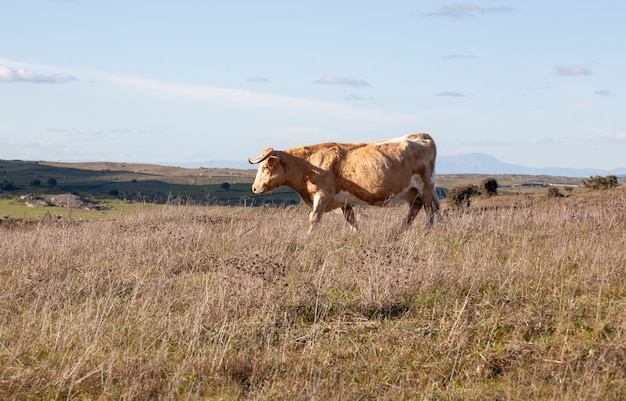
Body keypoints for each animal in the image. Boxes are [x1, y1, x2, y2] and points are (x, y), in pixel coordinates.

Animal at [249, 132, 438, 231]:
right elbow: (352, 221)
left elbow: (314, 219)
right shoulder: (344, 202)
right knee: (416, 209)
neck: (308, 164)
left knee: (430, 211)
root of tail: (421, 136)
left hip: (426, 186)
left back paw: (425, 233)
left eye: (265, 167)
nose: (254, 188)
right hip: (412, 191)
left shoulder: (323, 195)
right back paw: (397, 232)